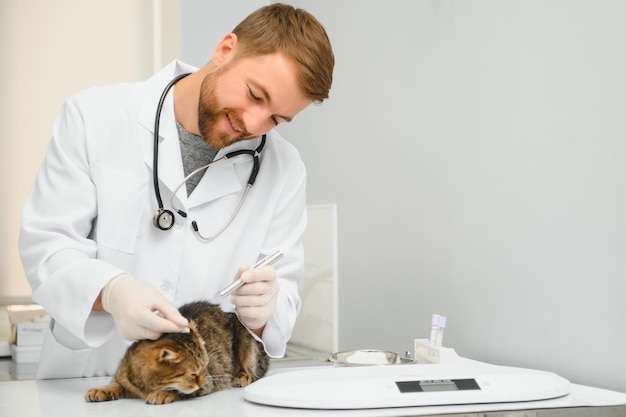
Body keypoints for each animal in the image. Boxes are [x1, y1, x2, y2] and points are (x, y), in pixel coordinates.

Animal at [83, 300, 268, 404]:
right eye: (193, 373)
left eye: (204, 369)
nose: (201, 379)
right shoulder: (122, 377)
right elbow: (114, 384)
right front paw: (102, 389)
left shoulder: (207, 382)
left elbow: (180, 390)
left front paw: (163, 394)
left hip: (246, 333)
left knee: (255, 371)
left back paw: (242, 376)